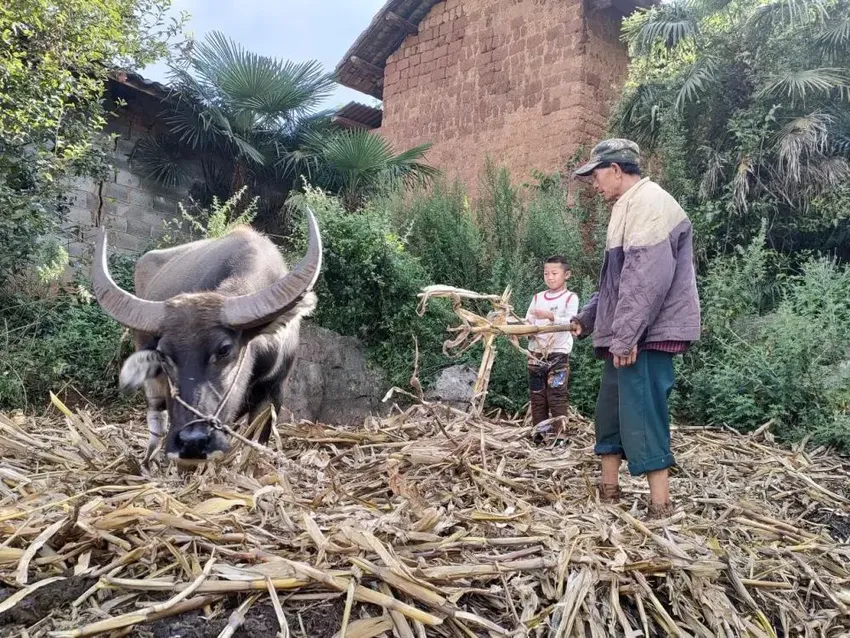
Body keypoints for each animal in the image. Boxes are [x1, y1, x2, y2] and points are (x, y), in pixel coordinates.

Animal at [90, 210, 322, 464]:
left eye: (224, 349)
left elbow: (255, 443)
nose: (192, 442)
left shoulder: (274, 390)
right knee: (156, 417)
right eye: (163, 354)